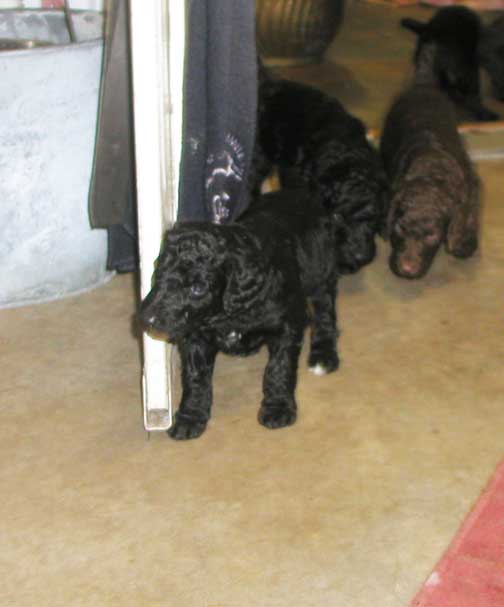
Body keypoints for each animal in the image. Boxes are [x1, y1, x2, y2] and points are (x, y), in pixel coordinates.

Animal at [141, 189, 344, 440]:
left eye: (197, 288)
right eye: (158, 273)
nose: (146, 318)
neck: (226, 314)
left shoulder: (288, 323)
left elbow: (279, 368)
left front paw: (277, 409)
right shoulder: (196, 335)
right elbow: (195, 378)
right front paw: (190, 417)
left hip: (321, 270)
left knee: (325, 310)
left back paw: (324, 355)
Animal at [381, 84, 480, 279]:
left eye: (432, 235)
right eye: (399, 227)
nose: (407, 268)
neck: (432, 170)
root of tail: (422, 86)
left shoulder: (470, 184)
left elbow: (469, 212)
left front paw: (464, 243)